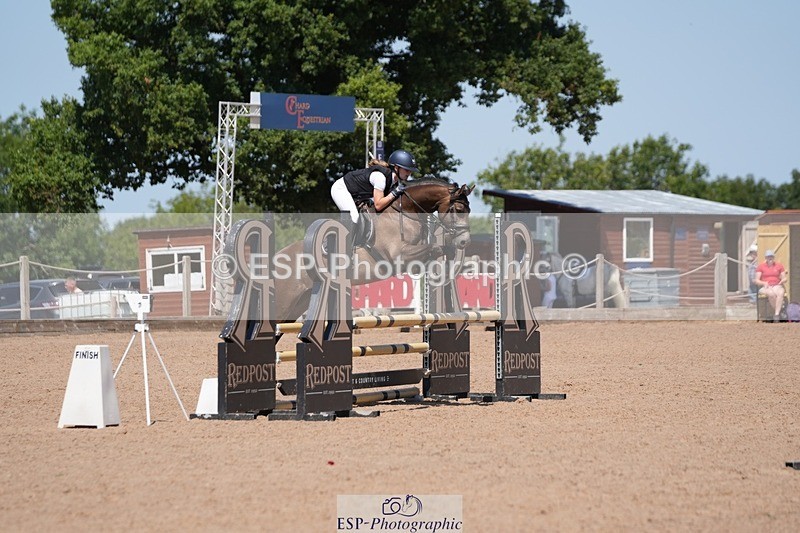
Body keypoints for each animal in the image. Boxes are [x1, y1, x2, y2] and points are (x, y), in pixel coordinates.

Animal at [272, 178, 475, 322]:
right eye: (458, 209)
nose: (464, 241)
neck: (404, 212)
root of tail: (276, 257)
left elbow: (437, 251)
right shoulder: (400, 256)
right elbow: (433, 247)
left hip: (300, 303)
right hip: (285, 302)